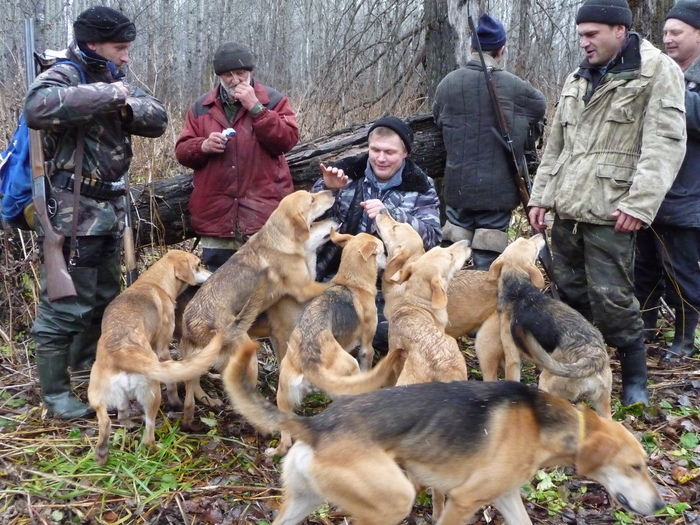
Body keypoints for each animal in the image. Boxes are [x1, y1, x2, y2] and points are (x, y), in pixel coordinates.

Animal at [178, 190, 336, 428]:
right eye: (312, 200)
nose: (333, 192)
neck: (282, 241)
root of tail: (192, 325)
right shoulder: (304, 289)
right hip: (248, 357)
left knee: (192, 390)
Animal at [226, 340, 668, 524]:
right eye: (635, 467)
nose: (661, 506)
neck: (541, 421)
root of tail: (316, 425)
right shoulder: (463, 501)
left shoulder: (504, 496)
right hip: (393, 501)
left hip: (302, 501)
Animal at [274, 229, 404, 454]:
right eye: (383, 251)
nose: (389, 261)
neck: (351, 282)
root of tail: (309, 363)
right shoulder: (366, 347)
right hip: (349, 369)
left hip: (283, 395)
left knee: (286, 439)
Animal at [476, 235, 612, 416]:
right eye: (523, 240)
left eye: (532, 246)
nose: (540, 235)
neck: (519, 288)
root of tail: (593, 358)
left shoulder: (512, 357)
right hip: (602, 403)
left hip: (547, 383)